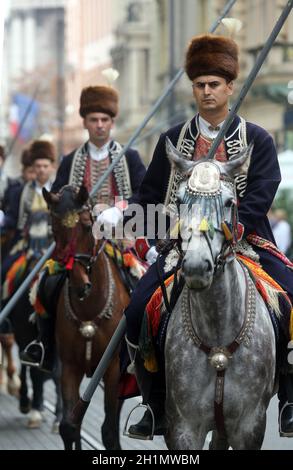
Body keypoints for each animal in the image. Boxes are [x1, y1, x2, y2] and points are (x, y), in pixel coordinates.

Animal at [42, 185, 128, 450]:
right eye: (53, 227)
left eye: (88, 226)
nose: (81, 286)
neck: (90, 310)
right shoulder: (70, 366)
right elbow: (69, 426)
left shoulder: (113, 370)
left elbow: (109, 431)